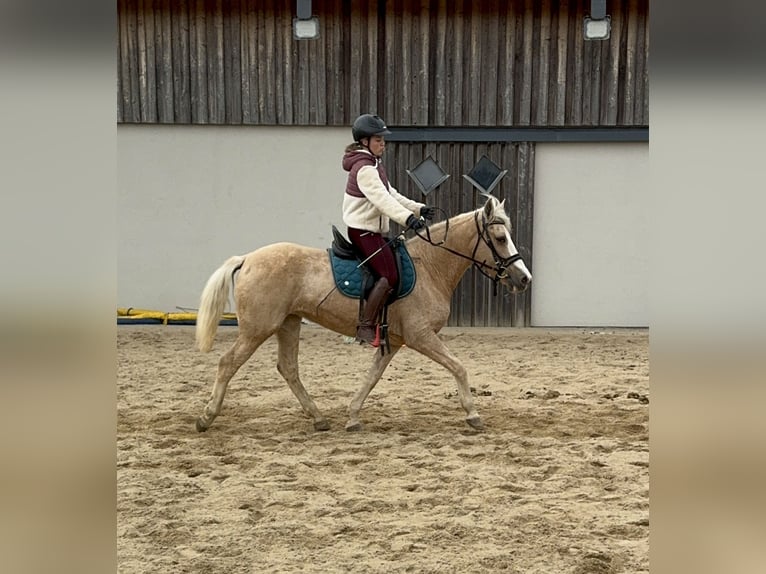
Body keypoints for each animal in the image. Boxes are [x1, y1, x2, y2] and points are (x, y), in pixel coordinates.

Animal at [194, 196, 536, 434]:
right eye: (501, 238)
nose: (524, 278)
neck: (430, 266)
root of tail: (248, 258)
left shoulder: (394, 341)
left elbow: (372, 377)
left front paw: (353, 415)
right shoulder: (420, 337)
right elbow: (459, 367)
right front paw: (473, 414)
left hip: (288, 324)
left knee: (288, 369)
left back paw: (318, 418)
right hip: (257, 329)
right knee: (227, 363)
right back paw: (206, 417)